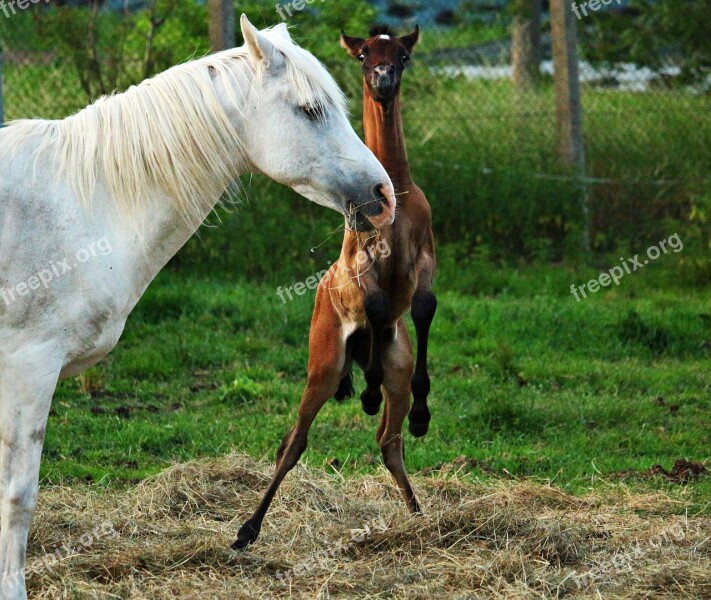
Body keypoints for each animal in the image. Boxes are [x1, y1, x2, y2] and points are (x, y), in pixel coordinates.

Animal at [234, 29, 436, 552]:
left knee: (389, 442)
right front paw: (367, 393)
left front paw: (423, 412)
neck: (399, 190)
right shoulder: (359, 260)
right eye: (365, 56)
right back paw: (246, 531)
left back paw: (418, 513)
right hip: (323, 365)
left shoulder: (426, 255)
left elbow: (423, 306)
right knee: (294, 441)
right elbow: (379, 302)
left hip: (398, 367)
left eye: (402, 56)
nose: (384, 81)